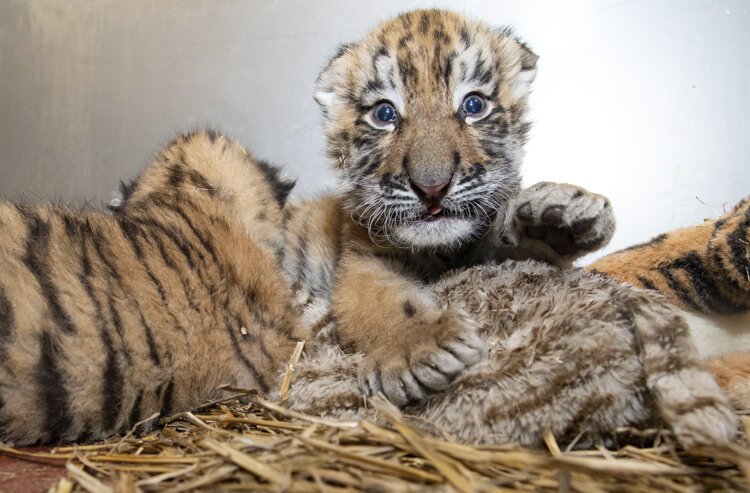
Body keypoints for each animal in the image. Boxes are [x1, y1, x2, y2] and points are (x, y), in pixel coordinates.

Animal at [280, 9, 617, 407]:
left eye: (474, 106)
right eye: (384, 113)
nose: (431, 187)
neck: (438, 252)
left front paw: (555, 219)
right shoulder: (362, 263)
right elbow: (385, 302)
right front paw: (419, 346)